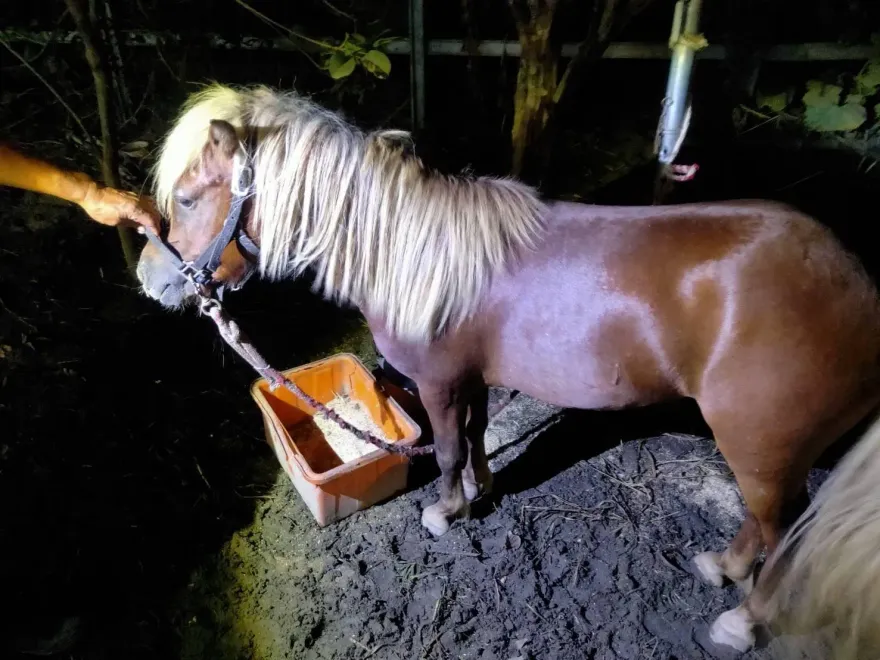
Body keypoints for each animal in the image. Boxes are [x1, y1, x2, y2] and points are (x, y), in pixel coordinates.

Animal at [135, 83, 880, 655]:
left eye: (191, 198)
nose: (149, 280)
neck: (412, 253)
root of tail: (858, 286)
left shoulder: (437, 383)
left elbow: (445, 450)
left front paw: (446, 512)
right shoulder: (473, 380)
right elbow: (476, 436)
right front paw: (483, 491)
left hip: (761, 447)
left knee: (784, 539)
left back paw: (741, 621)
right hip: (766, 454)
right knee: (762, 525)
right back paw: (721, 567)